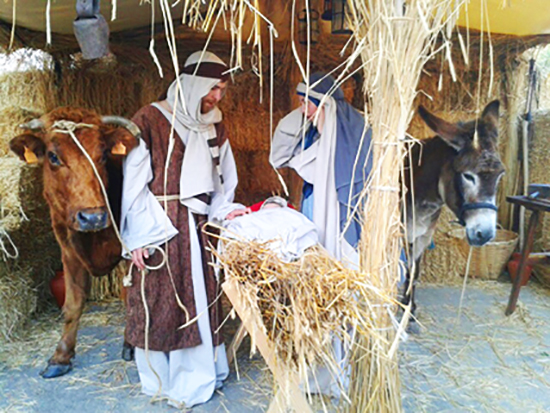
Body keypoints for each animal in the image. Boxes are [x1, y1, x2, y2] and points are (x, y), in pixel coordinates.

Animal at [9, 106, 141, 376]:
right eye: (53, 156)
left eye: (103, 154)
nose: (93, 217)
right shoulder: (68, 251)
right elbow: (73, 304)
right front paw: (60, 356)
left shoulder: (128, 250)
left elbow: (129, 298)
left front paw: (129, 345)